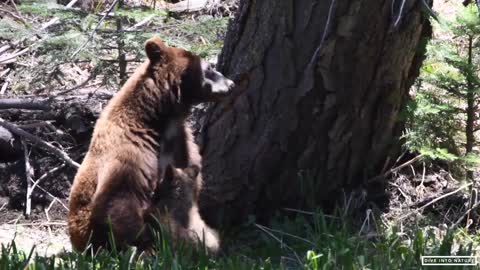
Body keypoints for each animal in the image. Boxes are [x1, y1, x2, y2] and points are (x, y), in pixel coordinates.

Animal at [67, 35, 232, 251]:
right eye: (210, 67)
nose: (231, 83)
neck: (160, 120)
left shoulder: (183, 145)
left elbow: (190, 183)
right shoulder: (132, 151)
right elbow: (117, 202)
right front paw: (147, 243)